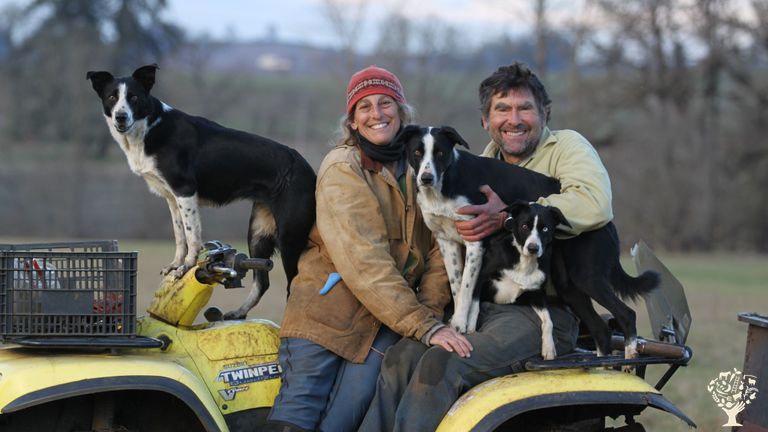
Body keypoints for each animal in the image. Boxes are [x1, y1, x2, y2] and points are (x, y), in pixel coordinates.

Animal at [87, 64, 316, 319]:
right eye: (112, 97)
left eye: (134, 97)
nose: (121, 116)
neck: (149, 128)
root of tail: (307, 168)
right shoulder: (172, 198)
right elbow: (179, 235)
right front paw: (176, 265)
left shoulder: (185, 190)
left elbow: (191, 235)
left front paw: (187, 266)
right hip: (258, 232)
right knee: (261, 282)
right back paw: (237, 313)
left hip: (289, 238)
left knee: (292, 287)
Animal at [478, 201, 569, 360]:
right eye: (525, 226)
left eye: (545, 228)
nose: (533, 248)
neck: (525, 262)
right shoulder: (483, 278)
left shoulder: (537, 293)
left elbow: (549, 322)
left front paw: (549, 347)